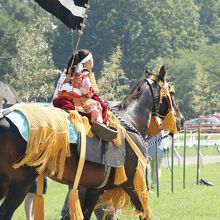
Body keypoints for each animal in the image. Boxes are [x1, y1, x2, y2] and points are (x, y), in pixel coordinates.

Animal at [0, 65, 184, 220]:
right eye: (172, 93)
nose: (181, 120)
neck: (131, 120)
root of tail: (4, 115)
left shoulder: (94, 189)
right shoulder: (134, 184)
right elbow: (144, 213)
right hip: (21, 182)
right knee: (6, 212)